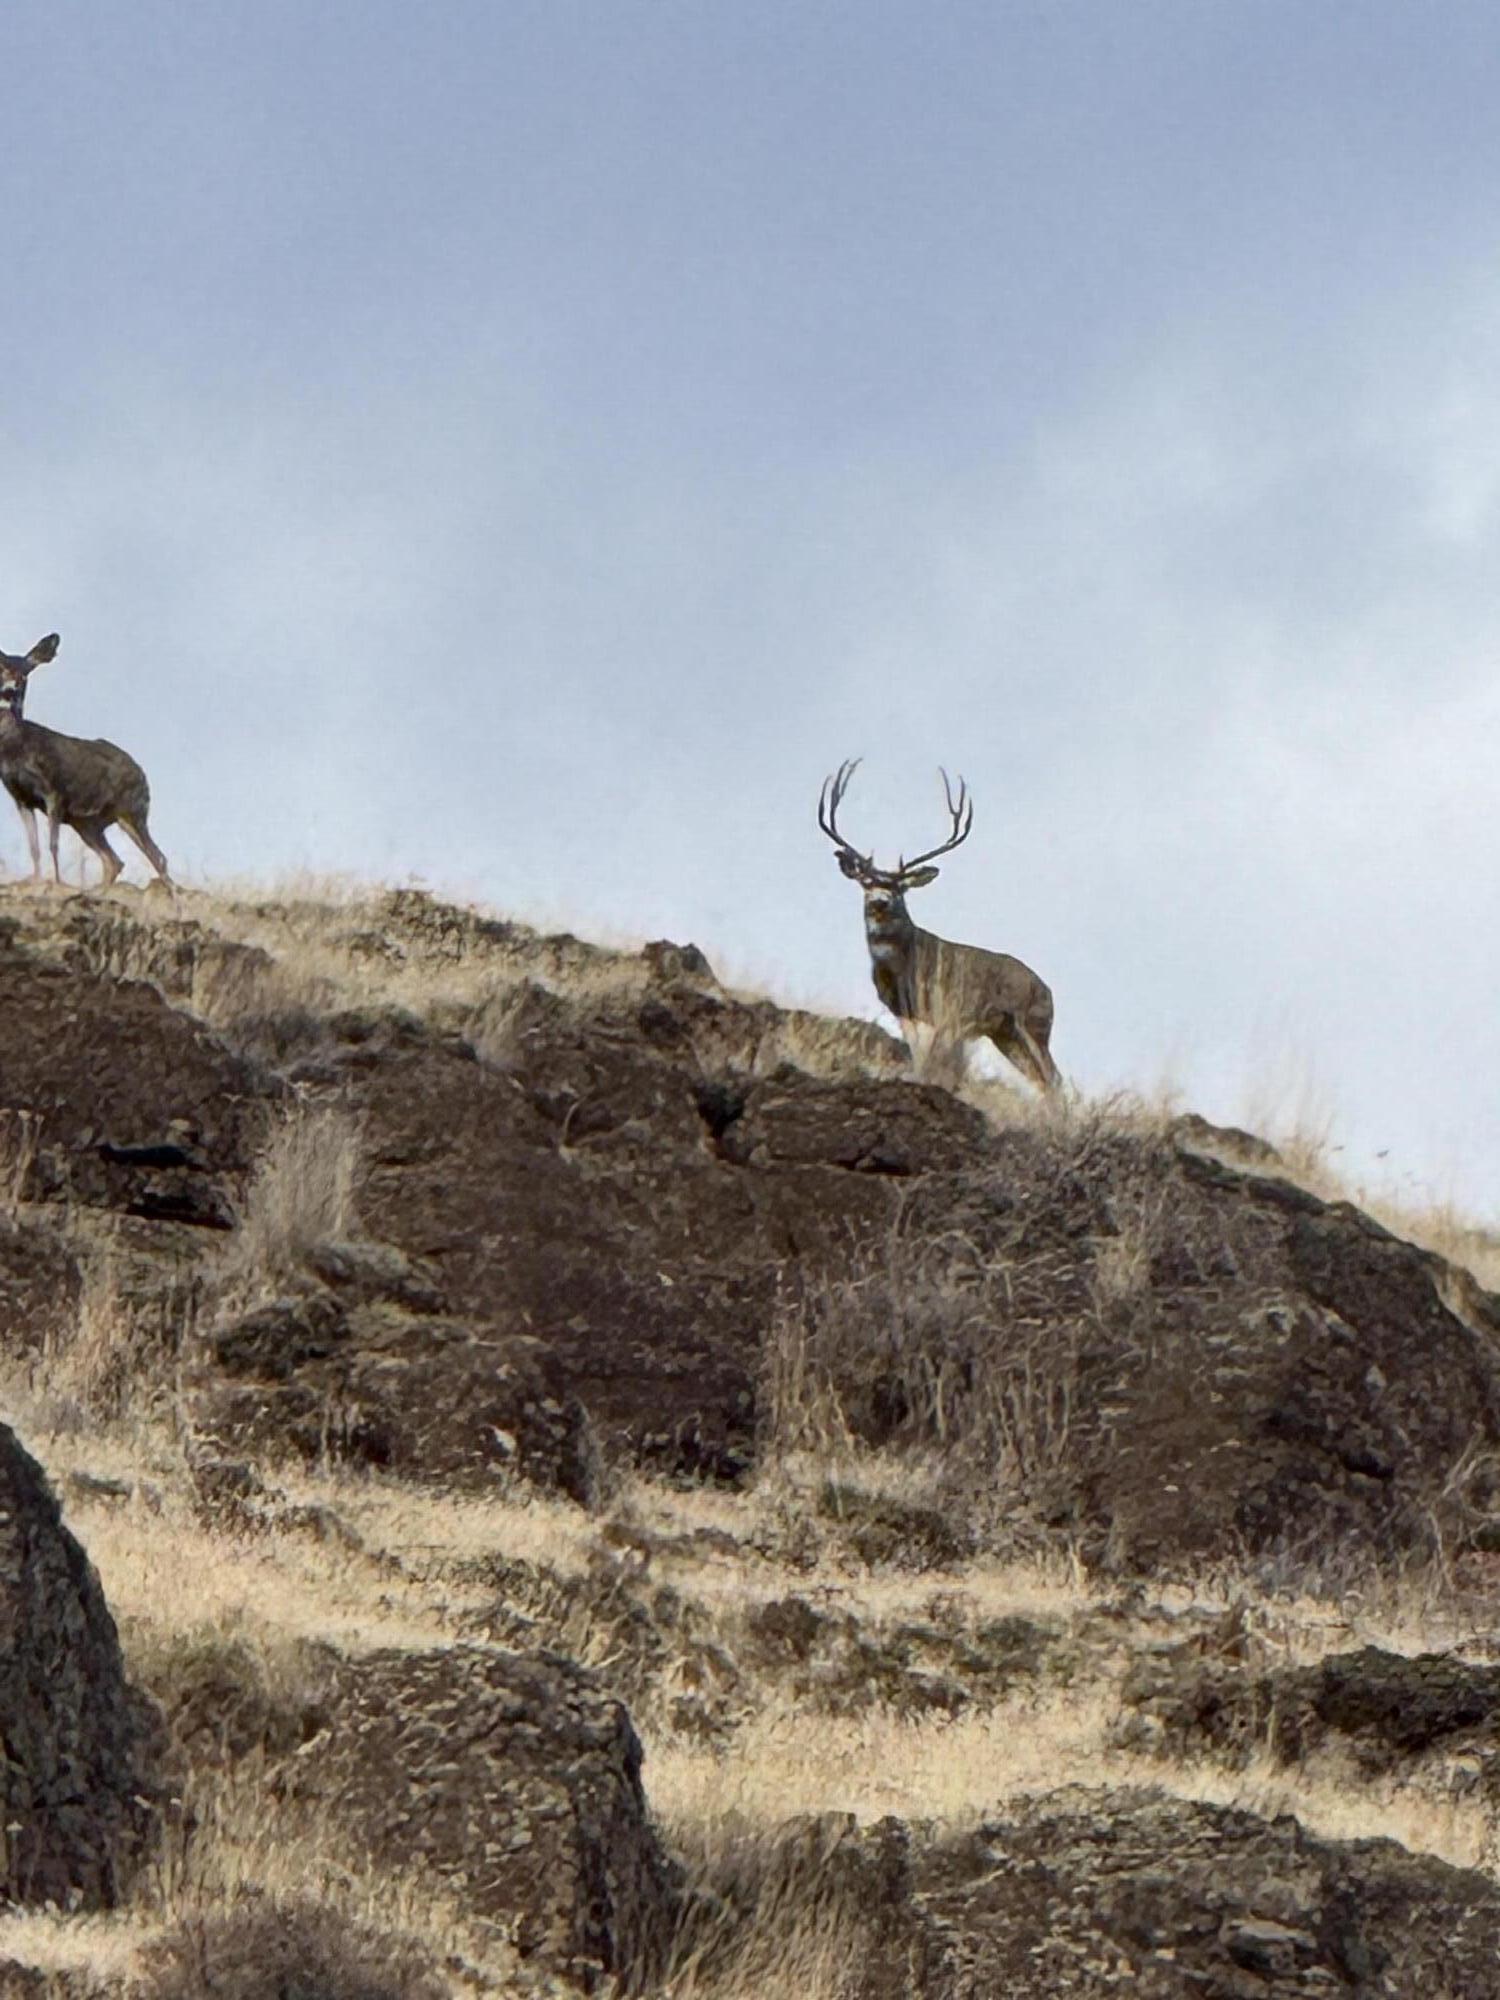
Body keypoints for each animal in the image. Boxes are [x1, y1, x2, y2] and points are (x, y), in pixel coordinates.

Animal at [0, 633, 172, 889]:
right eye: (2, 669)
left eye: (26, 673)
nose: (11, 689)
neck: (16, 748)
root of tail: (142, 773)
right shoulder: (20, 798)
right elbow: (34, 847)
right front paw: (36, 879)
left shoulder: (55, 792)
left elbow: (52, 845)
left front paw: (57, 882)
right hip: (87, 823)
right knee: (114, 861)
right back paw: (98, 890)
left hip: (132, 810)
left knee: (158, 858)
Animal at [818, 758, 1060, 1093]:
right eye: (866, 883)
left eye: (899, 888)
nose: (880, 901)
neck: (901, 965)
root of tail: (1047, 991)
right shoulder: (905, 1011)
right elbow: (919, 1059)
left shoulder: (947, 1011)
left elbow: (933, 1064)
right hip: (1005, 1034)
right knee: (1044, 1081)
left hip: (1033, 1025)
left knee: (1054, 1079)